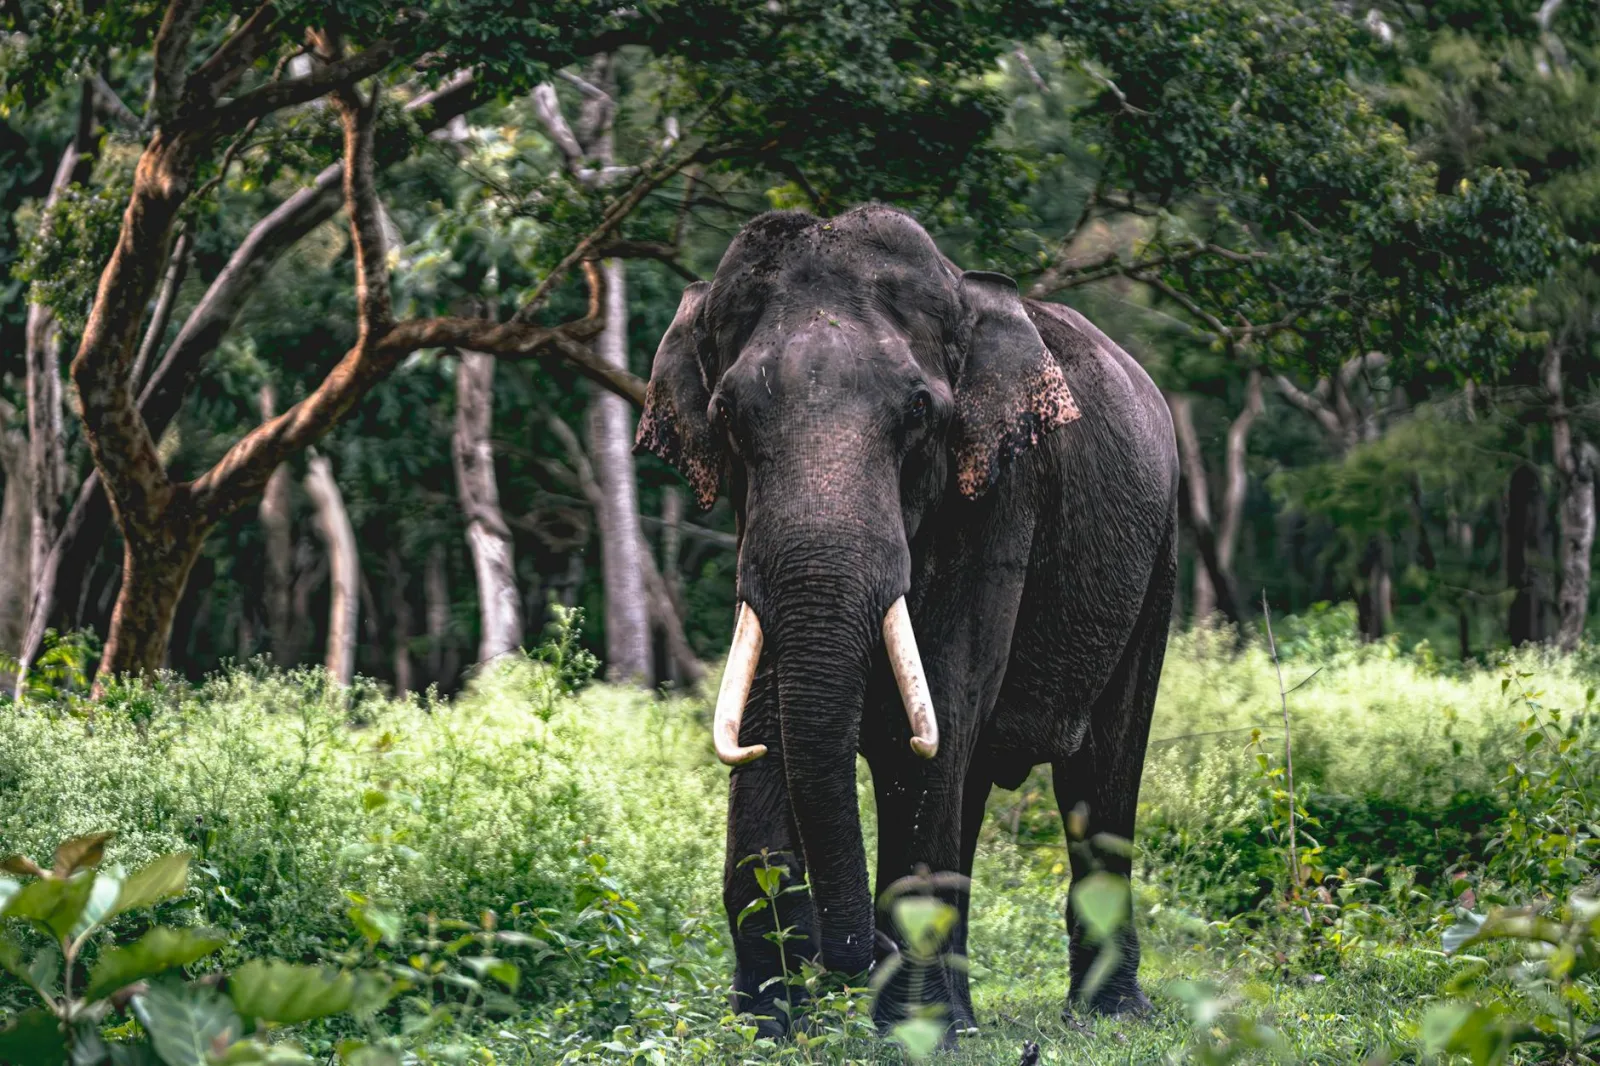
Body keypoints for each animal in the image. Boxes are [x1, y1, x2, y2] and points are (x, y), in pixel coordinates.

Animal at [634, 204, 1178, 1035]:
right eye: (727, 416)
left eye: (919, 411)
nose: (850, 956)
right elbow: (767, 720)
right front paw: (768, 1029)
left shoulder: (1000, 497)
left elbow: (930, 719)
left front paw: (913, 1033)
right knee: (978, 781)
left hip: (1158, 559)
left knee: (1100, 774)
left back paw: (1108, 1016)